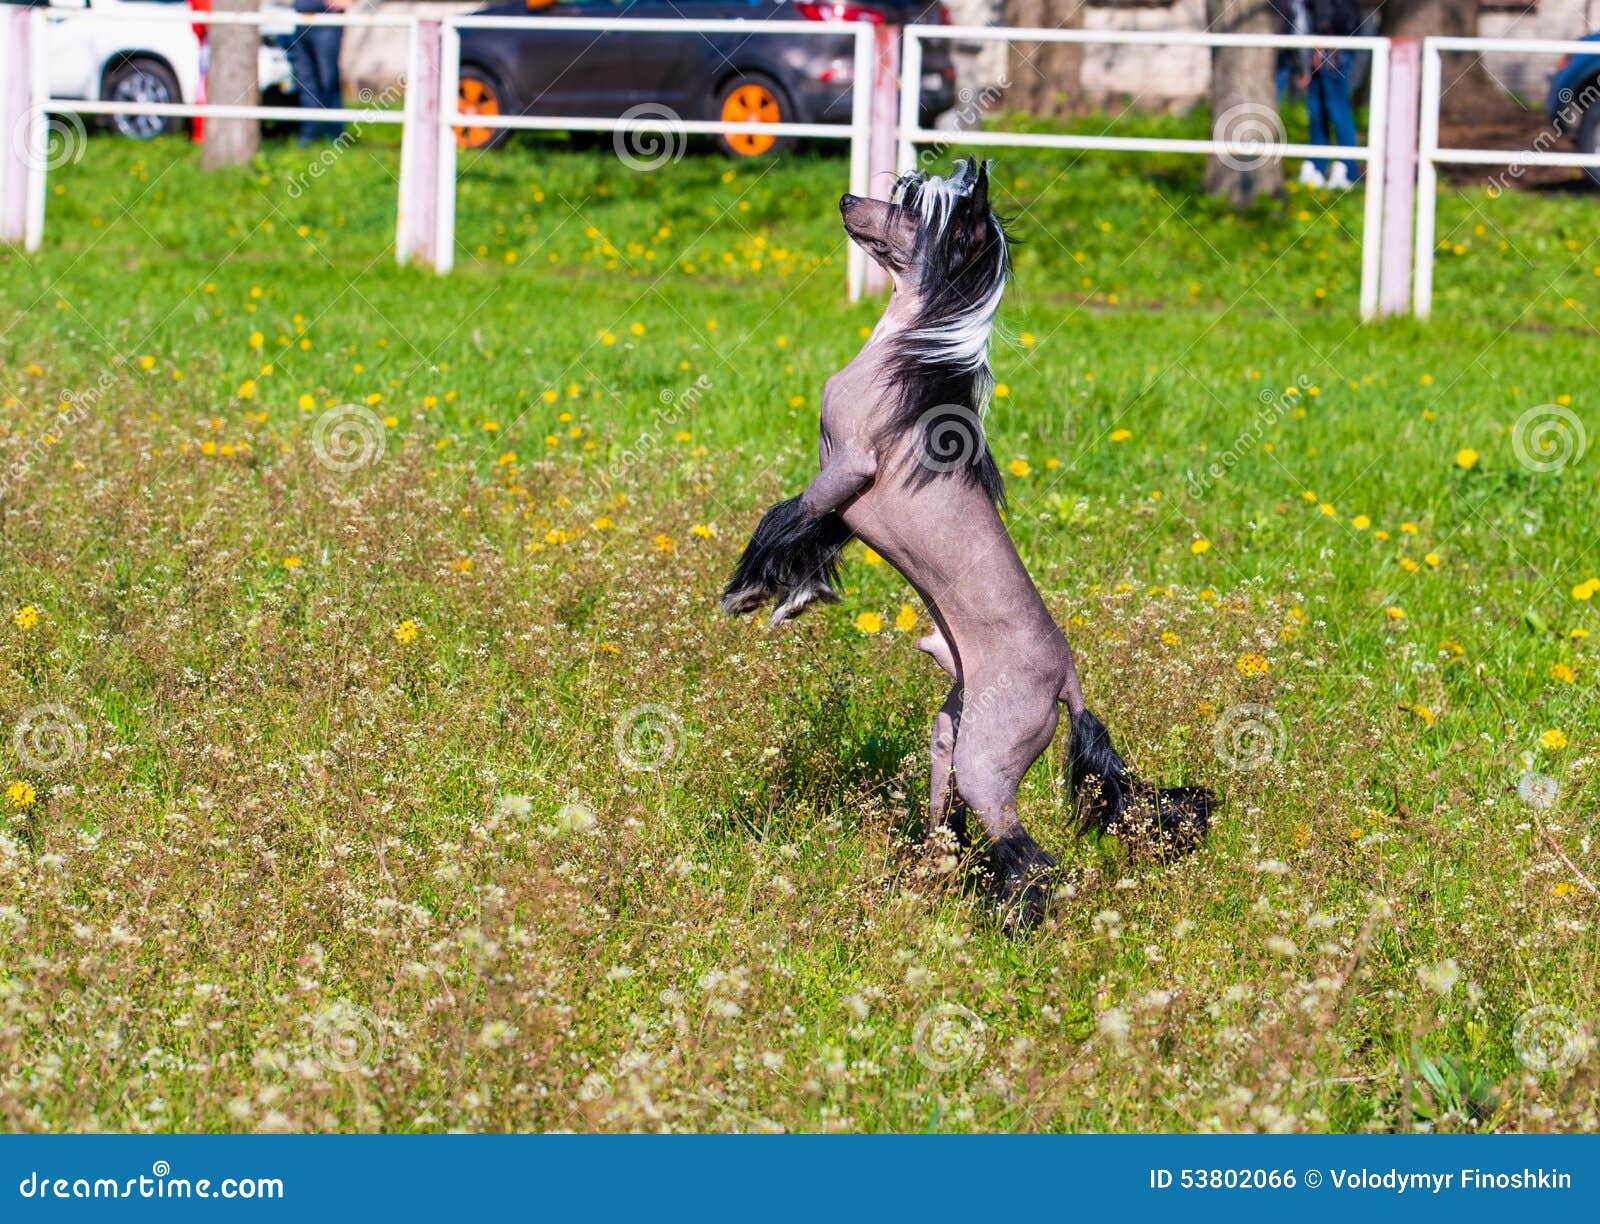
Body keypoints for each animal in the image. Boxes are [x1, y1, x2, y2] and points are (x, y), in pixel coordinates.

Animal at [726, 160, 1209, 928]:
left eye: (912, 206)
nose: (846, 199)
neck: (902, 353)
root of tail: (1069, 681)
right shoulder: (844, 505)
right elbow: (812, 540)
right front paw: (793, 598)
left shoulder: (846, 468)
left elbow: (783, 519)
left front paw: (750, 591)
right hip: (947, 734)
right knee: (944, 818)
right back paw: (921, 880)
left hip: (987, 758)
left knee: (1023, 848)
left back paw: (1015, 920)